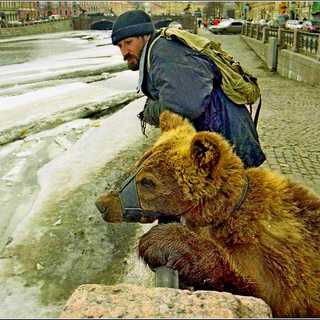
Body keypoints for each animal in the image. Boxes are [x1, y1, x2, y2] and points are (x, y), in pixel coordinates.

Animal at [96, 111, 320, 316]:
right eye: (137, 165)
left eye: (148, 182)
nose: (102, 204)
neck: (223, 212)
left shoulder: (279, 261)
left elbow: (260, 289)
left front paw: (163, 241)